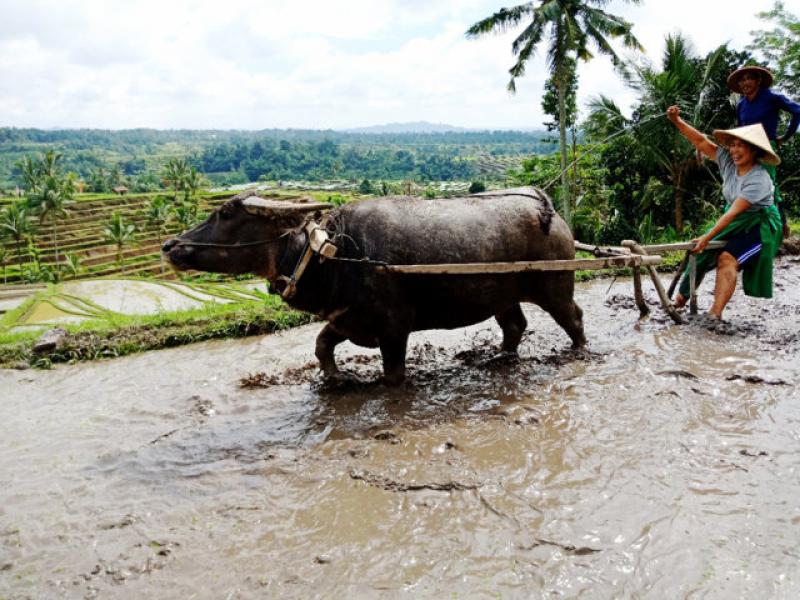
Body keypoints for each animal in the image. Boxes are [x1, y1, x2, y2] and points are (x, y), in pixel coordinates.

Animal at [164, 188, 588, 384]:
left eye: (225, 213)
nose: (171, 246)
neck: (334, 253)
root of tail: (546, 208)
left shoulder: (394, 328)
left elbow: (393, 372)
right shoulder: (346, 318)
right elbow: (321, 345)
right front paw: (337, 378)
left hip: (555, 286)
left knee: (574, 318)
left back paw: (579, 352)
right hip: (502, 294)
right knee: (514, 325)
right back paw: (499, 357)